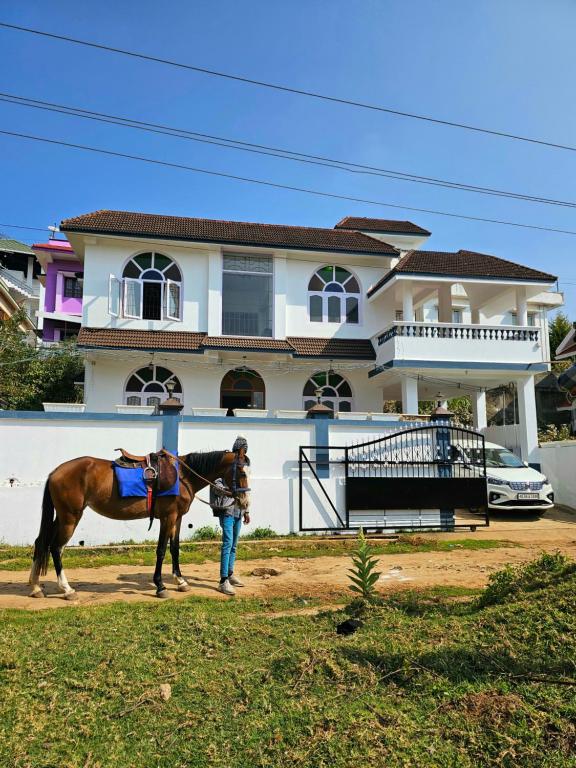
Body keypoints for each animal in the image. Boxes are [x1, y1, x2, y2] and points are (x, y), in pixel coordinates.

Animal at [28, 448, 250, 604]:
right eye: (241, 471)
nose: (245, 502)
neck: (182, 477)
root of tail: (55, 472)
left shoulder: (177, 518)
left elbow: (175, 549)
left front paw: (181, 581)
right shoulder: (167, 517)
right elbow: (161, 550)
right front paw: (160, 586)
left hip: (62, 517)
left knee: (41, 542)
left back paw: (36, 587)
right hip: (70, 517)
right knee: (56, 547)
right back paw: (67, 589)